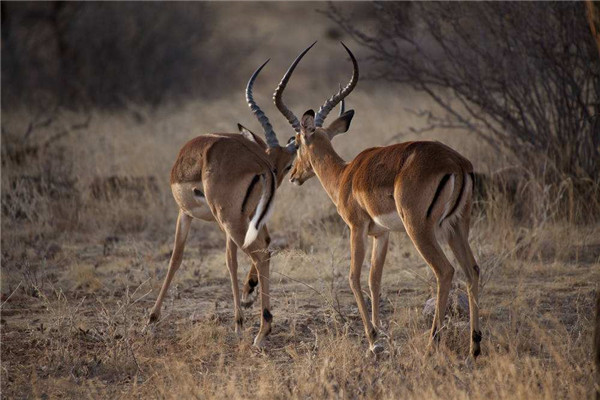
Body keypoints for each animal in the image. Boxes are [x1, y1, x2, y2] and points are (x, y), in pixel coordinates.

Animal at [284, 42, 480, 358]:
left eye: (298, 142)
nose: (293, 174)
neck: (345, 175)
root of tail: (457, 164)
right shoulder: (382, 234)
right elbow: (374, 279)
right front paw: (380, 335)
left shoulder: (357, 228)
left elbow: (353, 277)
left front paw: (372, 338)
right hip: (457, 226)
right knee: (472, 270)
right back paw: (475, 346)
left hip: (419, 229)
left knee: (445, 270)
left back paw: (432, 343)